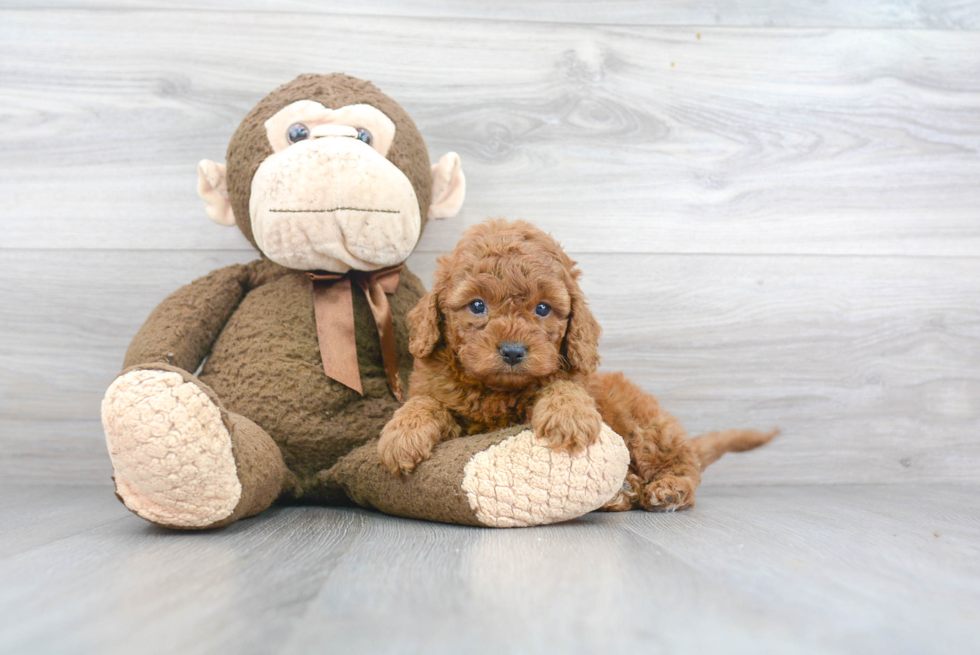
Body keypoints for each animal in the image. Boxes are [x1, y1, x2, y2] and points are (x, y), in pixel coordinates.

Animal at [378, 220, 776, 512]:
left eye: (542, 308)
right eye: (477, 306)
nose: (512, 352)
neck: (497, 392)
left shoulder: (577, 380)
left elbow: (563, 386)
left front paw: (567, 415)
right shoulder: (444, 399)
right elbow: (424, 402)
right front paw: (401, 435)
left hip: (646, 429)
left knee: (682, 466)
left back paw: (668, 489)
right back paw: (624, 491)